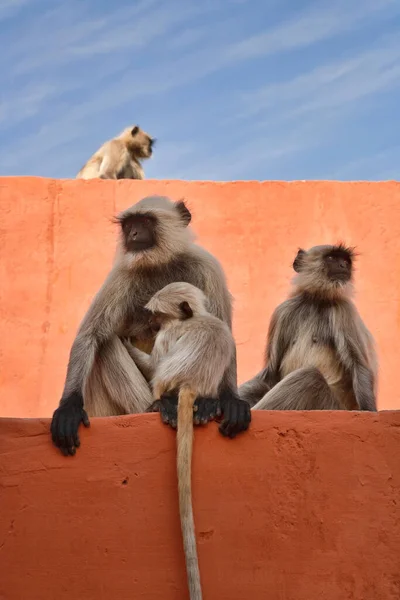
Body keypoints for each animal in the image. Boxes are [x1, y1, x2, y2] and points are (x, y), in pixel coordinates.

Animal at [50, 196, 250, 454]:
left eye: (144, 221)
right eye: (128, 225)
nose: (133, 233)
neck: (160, 264)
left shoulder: (207, 266)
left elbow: (223, 330)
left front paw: (229, 400)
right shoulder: (121, 274)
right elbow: (89, 335)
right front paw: (68, 407)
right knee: (106, 343)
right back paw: (157, 406)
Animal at [127, 282, 234, 600]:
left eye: (157, 315)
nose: (151, 323)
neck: (194, 317)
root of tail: (191, 382)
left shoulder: (168, 333)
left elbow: (154, 364)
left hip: (167, 378)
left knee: (159, 377)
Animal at [239, 244, 380, 412]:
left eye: (346, 261)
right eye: (331, 258)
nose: (343, 266)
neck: (315, 300)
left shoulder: (342, 310)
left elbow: (359, 365)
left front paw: (369, 409)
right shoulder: (282, 312)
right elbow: (271, 374)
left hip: (330, 405)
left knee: (310, 376)